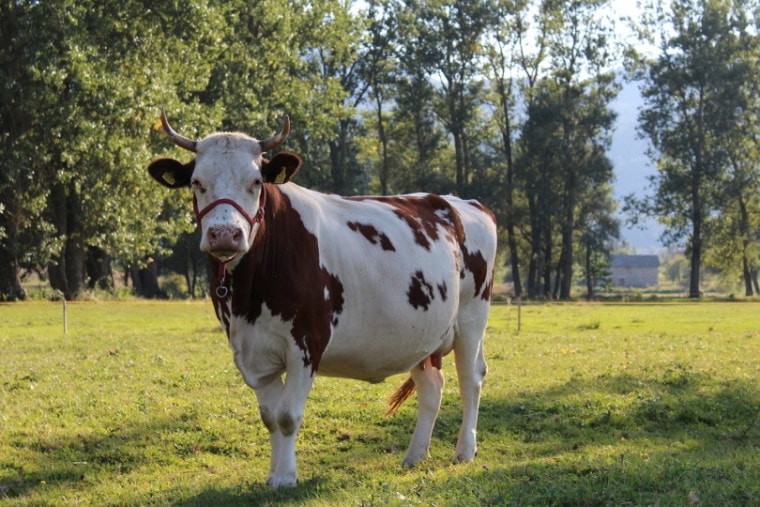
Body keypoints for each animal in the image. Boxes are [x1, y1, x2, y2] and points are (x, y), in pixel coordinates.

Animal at [147, 110, 498, 488]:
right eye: (197, 182)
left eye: (256, 182)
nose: (225, 234)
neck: (248, 294)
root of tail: (459, 201)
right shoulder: (250, 350)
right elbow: (269, 416)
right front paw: (274, 474)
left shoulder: (306, 343)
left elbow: (287, 415)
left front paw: (286, 478)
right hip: (423, 332)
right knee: (432, 386)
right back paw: (414, 455)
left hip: (471, 317)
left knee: (471, 378)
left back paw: (464, 450)